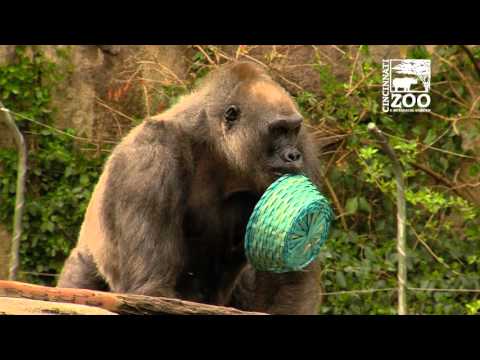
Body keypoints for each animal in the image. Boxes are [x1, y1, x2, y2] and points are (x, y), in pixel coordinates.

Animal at [58, 62, 324, 316]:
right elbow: (152, 288)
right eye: (278, 130)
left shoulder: (304, 144)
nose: (293, 155)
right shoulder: (150, 154)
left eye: (292, 130)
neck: (218, 145)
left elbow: (290, 280)